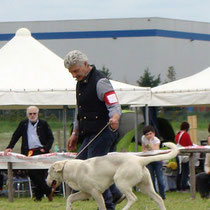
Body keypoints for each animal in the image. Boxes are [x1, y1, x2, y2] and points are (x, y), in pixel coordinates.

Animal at [46, 142, 178, 209]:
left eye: (48, 172)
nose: (45, 182)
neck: (71, 169)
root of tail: (140, 160)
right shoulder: (85, 193)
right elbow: (70, 198)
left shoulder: (96, 193)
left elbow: (102, 206)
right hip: (146, 187)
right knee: (158, 199)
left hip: (121, 181)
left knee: (133, 198)